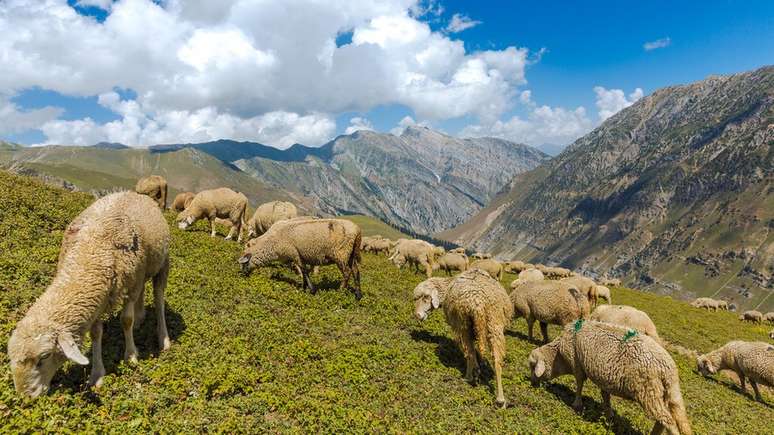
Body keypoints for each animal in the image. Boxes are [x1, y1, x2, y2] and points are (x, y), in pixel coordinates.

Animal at [7, 192, 172, 398]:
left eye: (44, 356)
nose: (26, 396)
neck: (91, 251)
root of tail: (138, 194)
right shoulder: (99, 298)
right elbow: (96, 333)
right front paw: (97, 374)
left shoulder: (130, 285)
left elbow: (126, 320)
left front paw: (131, 355)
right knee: (143, 291)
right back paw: (141, 317)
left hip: (162, 264)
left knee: (158, 299)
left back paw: (164, 339)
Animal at [412, 270, 516, 408]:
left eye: (425, 297)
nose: (417, 315)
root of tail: (478, 302)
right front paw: (479, 368)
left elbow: (471, 352)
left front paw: (475, 371)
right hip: (494, 323)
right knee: (496, 360)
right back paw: (500, 400)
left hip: (463, 324)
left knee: (469, 352)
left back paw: (468, 377)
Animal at [532, 318, 692, 434]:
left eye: (532, 365)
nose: (532, 384)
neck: (558, 356)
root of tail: (668, 368)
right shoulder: (604, 377)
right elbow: (605, 395)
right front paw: (608, 415)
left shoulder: (577, 363)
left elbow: (579, 384)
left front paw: (577, 404)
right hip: (662, 393)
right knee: (663, 421)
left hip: (649, 391)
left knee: (668, 421)